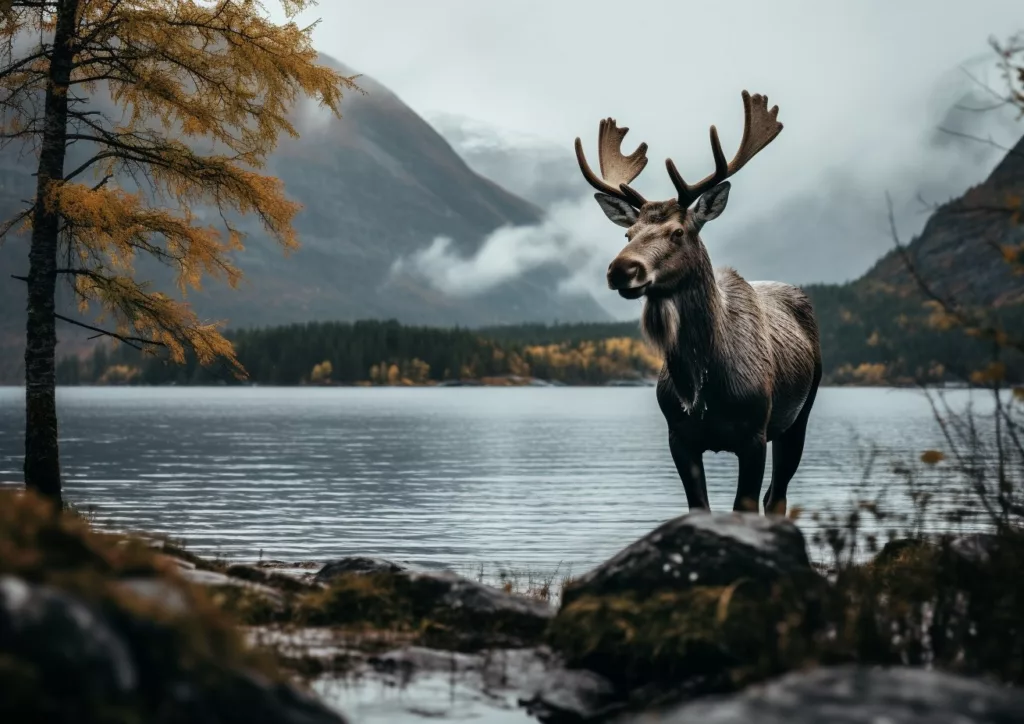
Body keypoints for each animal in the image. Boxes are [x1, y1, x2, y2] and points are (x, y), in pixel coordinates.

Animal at [577, 90, 823, 518]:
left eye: (678, 232)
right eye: (628, 232)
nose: (622, 269)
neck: (703, 389)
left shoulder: (754, 435)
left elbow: (745, 508)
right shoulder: (680, 437)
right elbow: (699, 510)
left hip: (799, 416)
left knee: (776, 498)